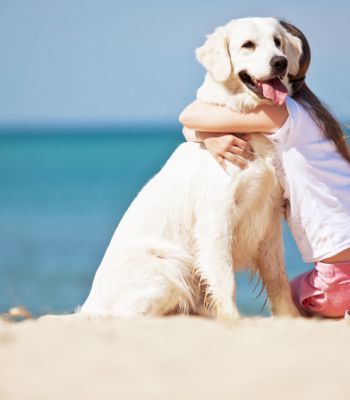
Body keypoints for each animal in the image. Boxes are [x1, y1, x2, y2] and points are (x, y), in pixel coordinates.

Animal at [63, 17, 304, 320]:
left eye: (278, 42)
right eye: (248, 44)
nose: (280, 62)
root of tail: (90, 306)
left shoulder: (269, 215)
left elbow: (278, 278)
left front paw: (291, 319)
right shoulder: (216, 216)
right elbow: (225, 281)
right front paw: (233, 320)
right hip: (169, 265)